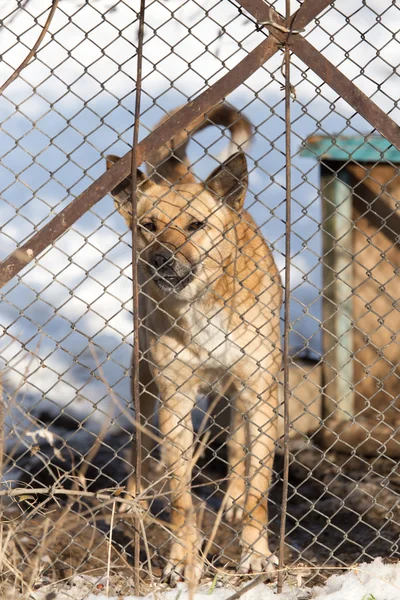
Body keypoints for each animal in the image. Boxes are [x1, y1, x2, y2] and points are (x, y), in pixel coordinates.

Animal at [106, 105, 282, 584]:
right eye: (149, 226)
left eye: (196, 225)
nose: (161, 261)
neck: (199, 309)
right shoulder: (175, 400)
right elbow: (181, 496)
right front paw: (183, 561)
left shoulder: (260, 392)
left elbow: (259, 485)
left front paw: (255, 553)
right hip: (144, 381)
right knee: (139, 445)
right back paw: (134, 500)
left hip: (243, 392)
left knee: (239, 449)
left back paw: (234, 499)